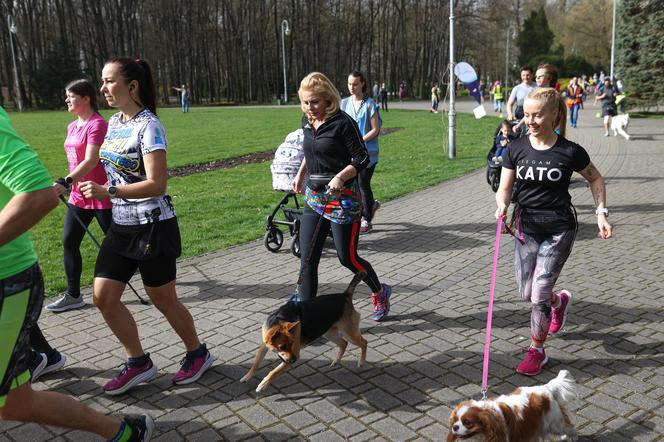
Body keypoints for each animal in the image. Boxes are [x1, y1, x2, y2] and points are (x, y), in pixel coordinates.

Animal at [240, 272, 368, 392]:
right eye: (282, 347)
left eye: (292, 343)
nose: (294, 360)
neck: (279, 319)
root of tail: (345, 295)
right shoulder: (264, 346)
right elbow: (256, 363)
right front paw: (247, 376)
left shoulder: (291, 355)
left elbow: (274, 371)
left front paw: (263, 384)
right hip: (330, 333)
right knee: (344, 343)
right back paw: (336, 361)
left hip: (349, 334)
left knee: (363, 342)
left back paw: (361, 362)